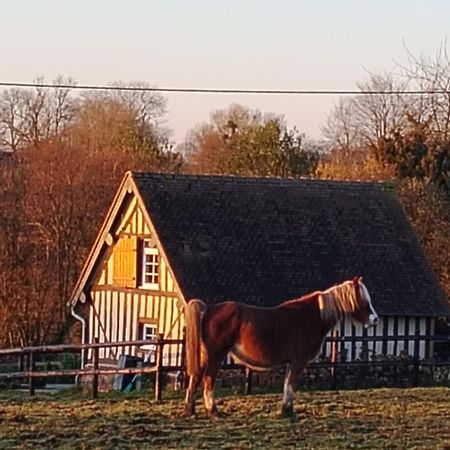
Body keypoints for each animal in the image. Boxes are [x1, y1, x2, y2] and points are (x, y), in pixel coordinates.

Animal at [185, 276, 378, 420]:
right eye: (362, 299)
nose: (375, 319)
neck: (312, 316)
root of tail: (209, 308)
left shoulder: (290, 362)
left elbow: (287, 384)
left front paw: (286, 410)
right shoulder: (299, 360)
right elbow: (291, 383)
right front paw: (287, 411)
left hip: (204, 356)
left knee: (195, 378)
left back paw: (190, 410)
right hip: (216, 355)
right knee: (208, 380)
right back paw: (213, 412)